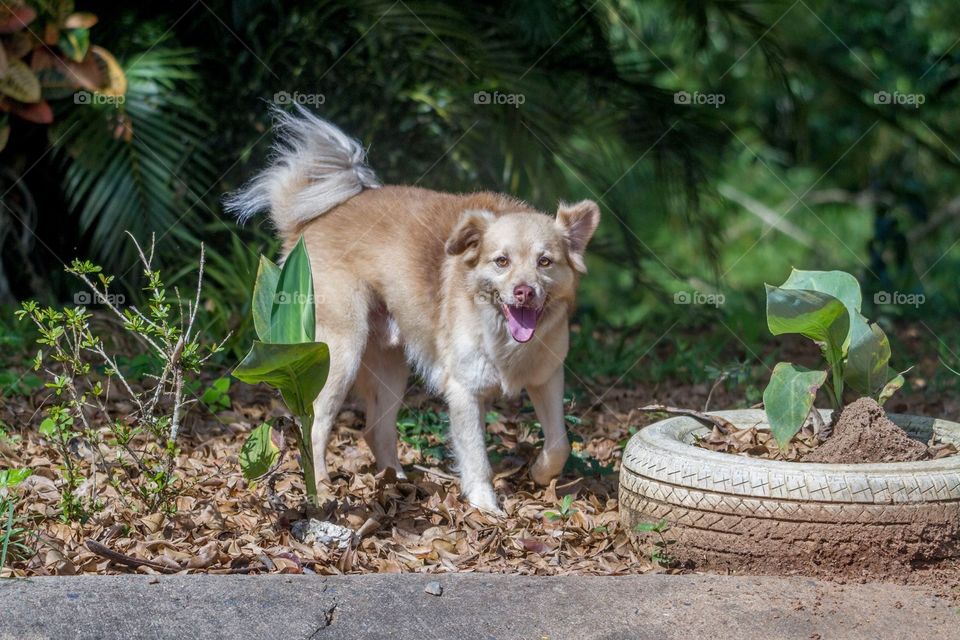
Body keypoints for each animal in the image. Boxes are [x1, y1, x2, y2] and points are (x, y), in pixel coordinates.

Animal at [227, 107, 600, 512]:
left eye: (545, 262)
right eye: (501, 261)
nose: (524, 292)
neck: (500, 333)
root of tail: (311, 221)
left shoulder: (547, 378)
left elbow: (560, 443)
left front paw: (541, 474)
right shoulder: (464, 392)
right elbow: (477, 458)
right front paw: (486, 506)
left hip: (390, 367)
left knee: (375, 430)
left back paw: (398, 485)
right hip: (335, 356)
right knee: (314, 426)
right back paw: (323, 489)